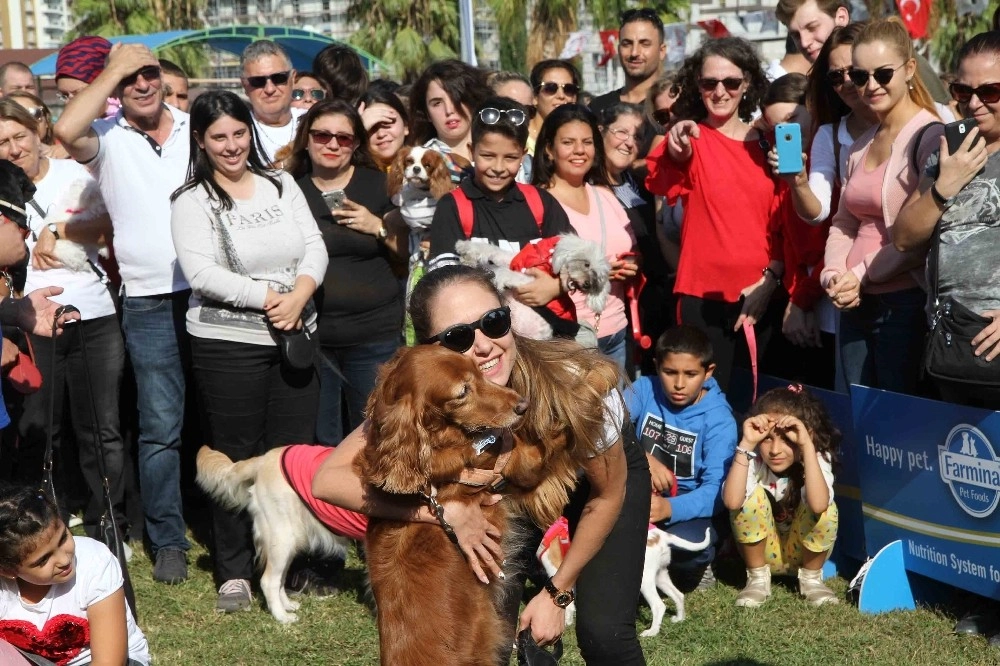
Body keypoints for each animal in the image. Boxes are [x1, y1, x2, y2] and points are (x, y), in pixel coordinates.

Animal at [195, 444, 360, 620]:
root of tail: (263, 459)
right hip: (282, 539)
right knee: (269, 581)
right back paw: (282, 617)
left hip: (288, 542)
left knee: (280, 579)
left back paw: (287, 605)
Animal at [540, 516, 712, 636]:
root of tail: (661, 535)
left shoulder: (558, 574)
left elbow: (565, 604)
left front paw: (564, 626)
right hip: (660, 575)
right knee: (678, 595)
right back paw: (679, 619)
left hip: (644, 579)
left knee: (659, 605)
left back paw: (652, 632)